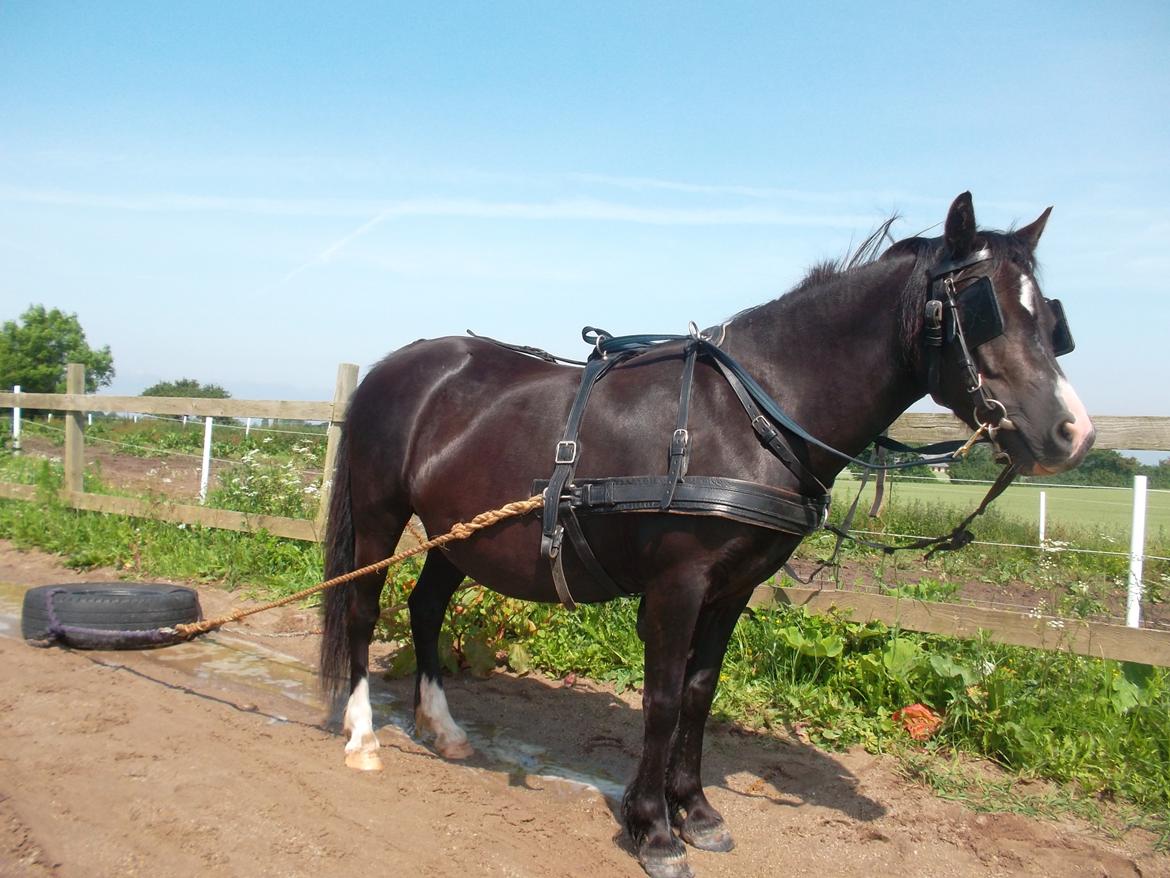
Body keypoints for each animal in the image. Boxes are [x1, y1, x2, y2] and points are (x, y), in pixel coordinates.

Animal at [318, 194, 1085, 878]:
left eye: (1051, 319)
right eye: (983, 307)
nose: (1071, 432)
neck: (752, 416)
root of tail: (394, 365)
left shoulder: (733, 589)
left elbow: (699, 692)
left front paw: (696, 810)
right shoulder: (676, 586)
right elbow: (660, 699)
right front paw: (655, 830)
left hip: (459, 534)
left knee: (426, 608)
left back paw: (444, 730)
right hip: (382, 515)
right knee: (363, 610)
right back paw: (362, 736)